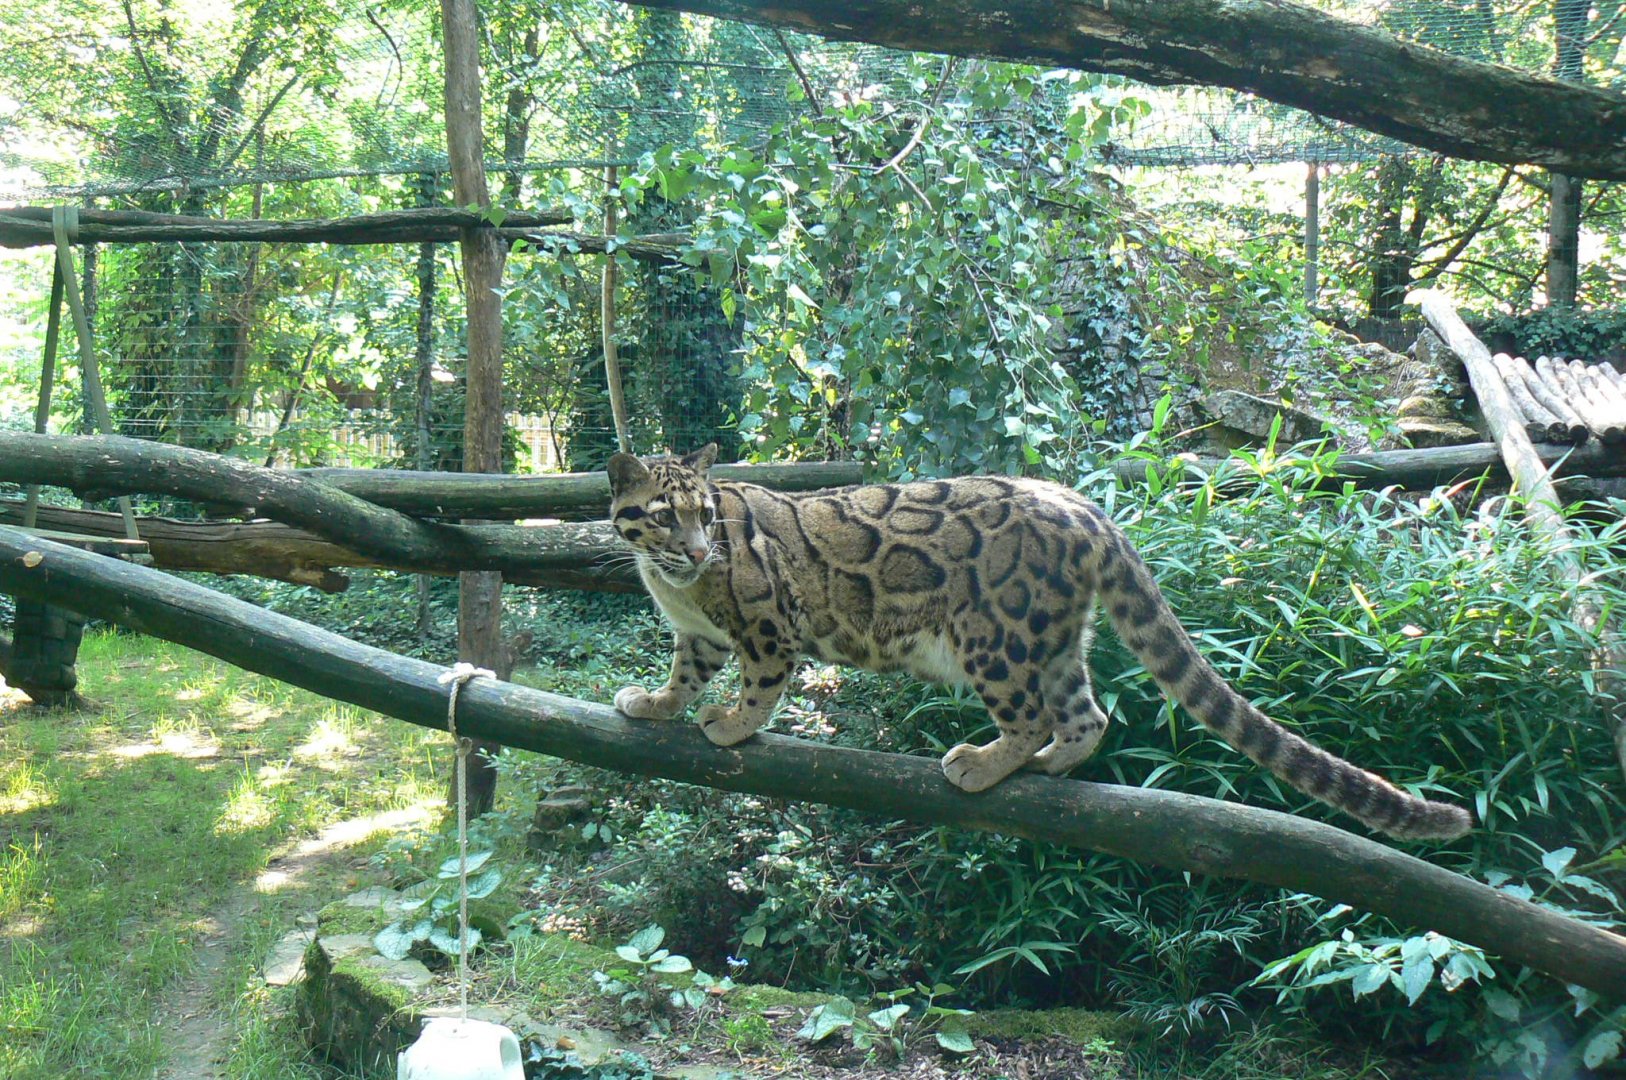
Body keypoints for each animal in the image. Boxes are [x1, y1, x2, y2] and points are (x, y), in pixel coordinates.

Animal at [606, 445, 1472, 841]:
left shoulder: (765, 623)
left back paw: (984, 763)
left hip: (994, 634)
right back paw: (1055, 764)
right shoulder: (695, 635)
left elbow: (761, 681)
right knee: (1089, 715)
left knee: (1029, 715)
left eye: (705, 516)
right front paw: (654, 704)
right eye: (663, 514)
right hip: (1055, 638)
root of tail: (1084, 507)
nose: (697, 551)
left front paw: (730, 725)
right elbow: (684, 672)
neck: (671, 582)